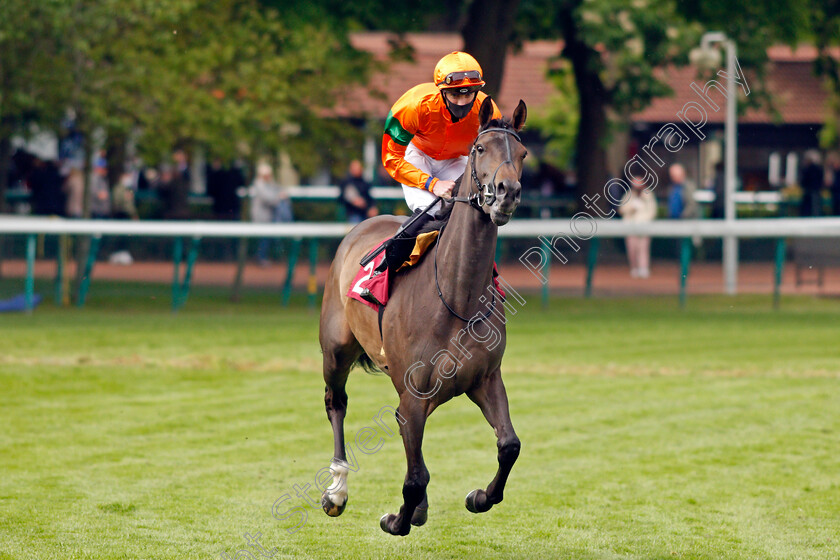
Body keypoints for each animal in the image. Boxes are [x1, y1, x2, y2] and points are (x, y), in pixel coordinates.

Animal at [318, 98, 528, 536]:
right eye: (479, 149)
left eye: (522, 154)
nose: (507, 193)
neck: (457, 296)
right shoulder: (414, 393)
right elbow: (414, 476)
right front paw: (396, 519)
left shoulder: (485, 379)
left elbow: (509, 445)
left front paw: (479, 496)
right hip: (335, 350)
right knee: (336, 402)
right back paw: (337, 490)